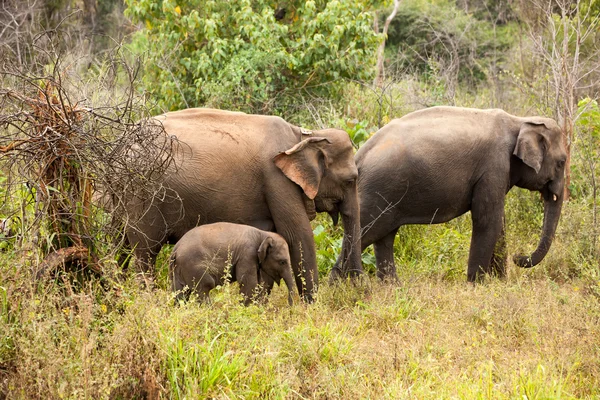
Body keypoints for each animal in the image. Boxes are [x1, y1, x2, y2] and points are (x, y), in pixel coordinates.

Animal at [126, 108, 360, 298]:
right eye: (351, 180)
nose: (357, 287)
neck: (305, 135)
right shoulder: (277, 180)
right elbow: (298, 236)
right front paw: (310, 306)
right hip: (143, 196)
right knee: (145, 253)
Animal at [332, 105, 568, 282]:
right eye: (562, 162)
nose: (519, 257)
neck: (519, 120)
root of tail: (360, 155)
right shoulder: (493, 166)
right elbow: (486, 219)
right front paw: (477, 286)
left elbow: (498, 222)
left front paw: (499, 283)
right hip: (377, 189)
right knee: (366, 232)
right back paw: (342, 287)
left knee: (384, 237)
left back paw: (389, 288)